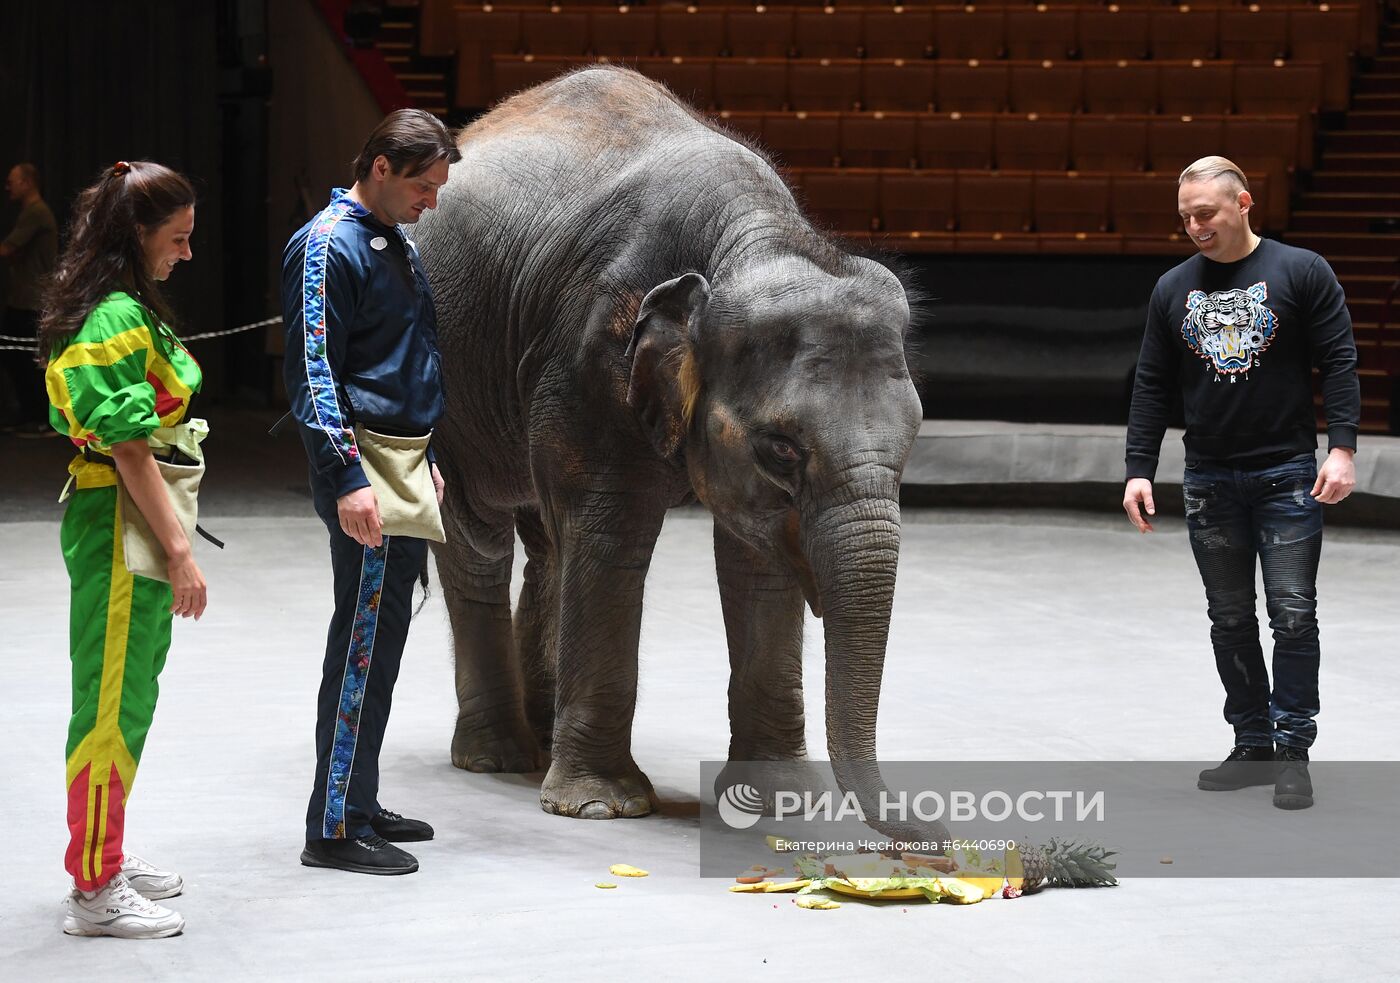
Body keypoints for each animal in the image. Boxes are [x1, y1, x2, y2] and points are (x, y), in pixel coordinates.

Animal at [411, 65, 940, 845]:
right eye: (781, 448)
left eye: (913, 438)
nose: (937, 838)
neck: (748, 242)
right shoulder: (590, 354)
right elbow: (612, 538)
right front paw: (600, 807)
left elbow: (756, 562)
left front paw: (780, 801)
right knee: (476, 539)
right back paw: (498, 756)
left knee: (547, 542)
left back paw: (540, 739)